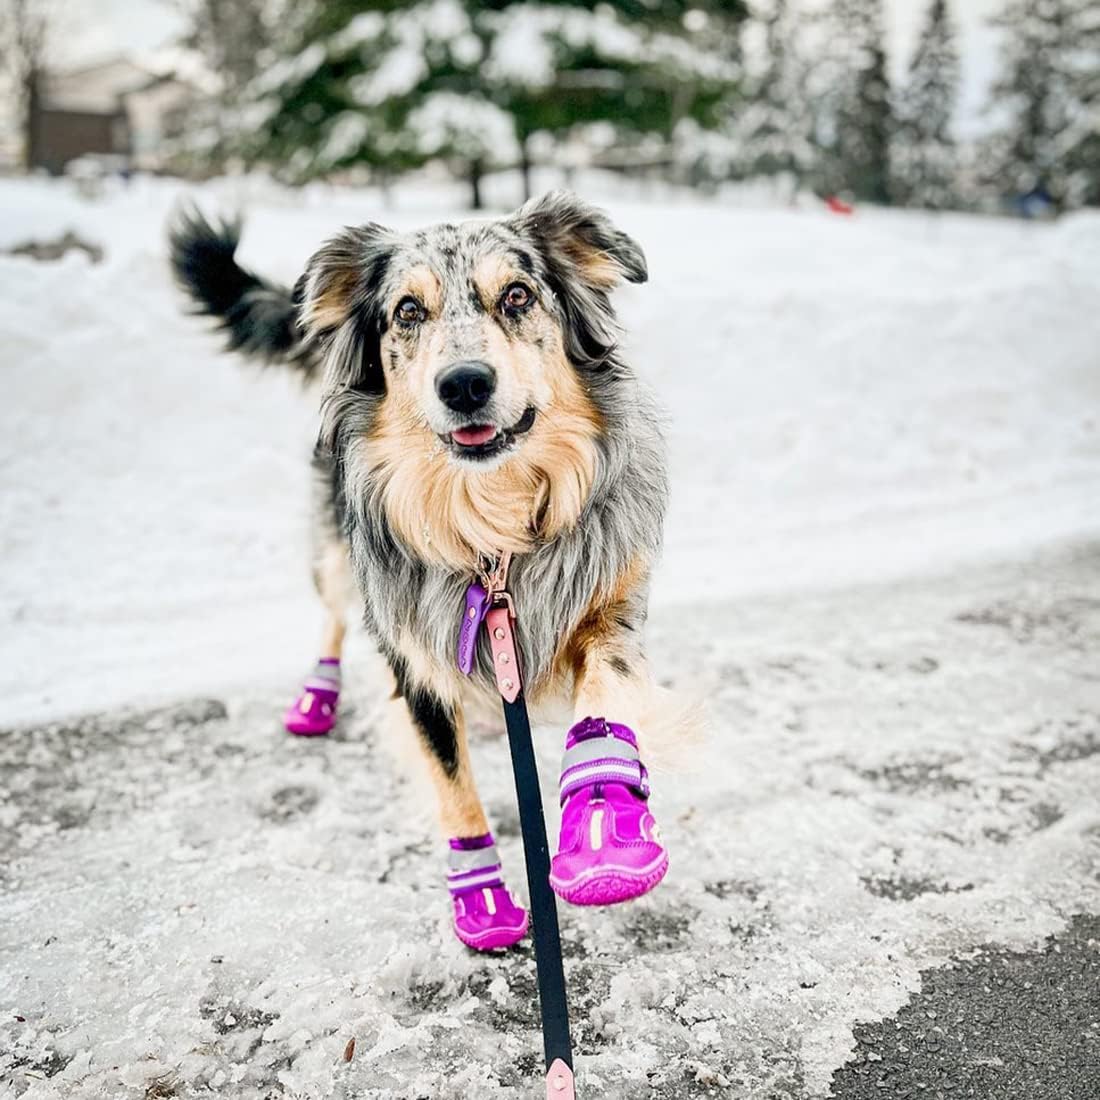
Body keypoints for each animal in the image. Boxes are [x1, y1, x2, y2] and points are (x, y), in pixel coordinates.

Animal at [169, 193, 686, 950]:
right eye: (408, 311)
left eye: (518, 295)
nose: (465, 384)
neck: (491, 525)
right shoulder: (413, 659)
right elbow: (452, 783)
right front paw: (485, 900)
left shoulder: (611, 603)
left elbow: (605, 693)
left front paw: (602, 834)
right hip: (337, 556)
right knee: (332, 616)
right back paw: (316, 699)